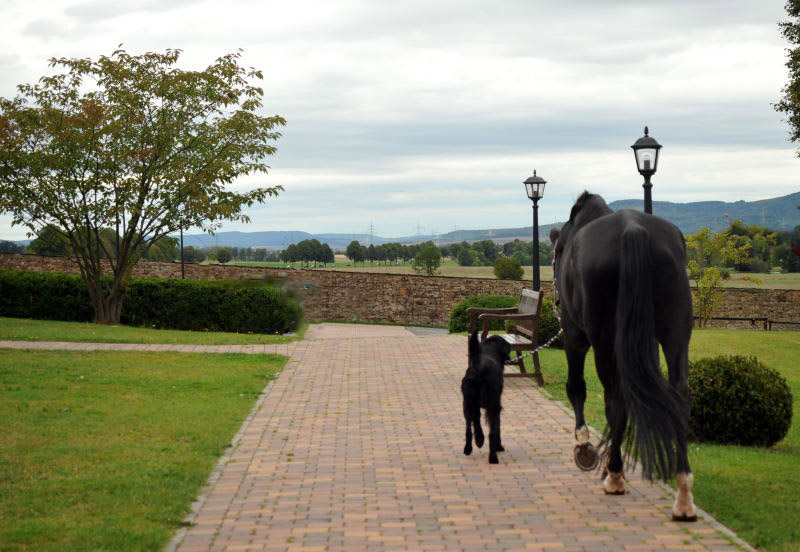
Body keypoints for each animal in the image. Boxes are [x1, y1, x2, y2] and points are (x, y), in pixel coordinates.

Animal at [462, 330, 512, 464]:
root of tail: (478, 366)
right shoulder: (496, 405)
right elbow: (497, 427)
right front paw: (499, 446)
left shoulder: (476, 406)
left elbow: (476, 421)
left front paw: (479, 439)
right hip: (493, 405)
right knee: (492, 433)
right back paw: (493, 457)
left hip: (467, 403)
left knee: (468, 428)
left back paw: (468, 448)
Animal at [552, 192, 696, 520]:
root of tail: (633, 229)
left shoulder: (575, 337)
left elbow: (576, 388)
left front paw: (585, 448)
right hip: (675, 333)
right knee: (678, 395)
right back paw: (683, 493)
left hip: (604, 341)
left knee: (615, 400)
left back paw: (614, 475)